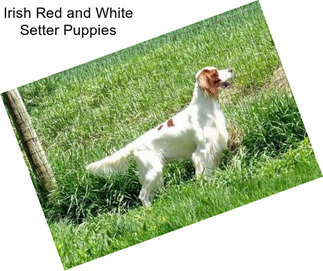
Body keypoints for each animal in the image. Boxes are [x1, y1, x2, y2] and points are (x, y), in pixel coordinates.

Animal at [86, 67, 233, 207]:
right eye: (215, 73)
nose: (231, 69)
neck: (205, 107)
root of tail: (135, 144)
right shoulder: (201, 152)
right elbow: (203, 173)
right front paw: (206, 185)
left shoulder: (214, 146)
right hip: (154, 169)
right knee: (142, 195)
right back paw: (149, 209)